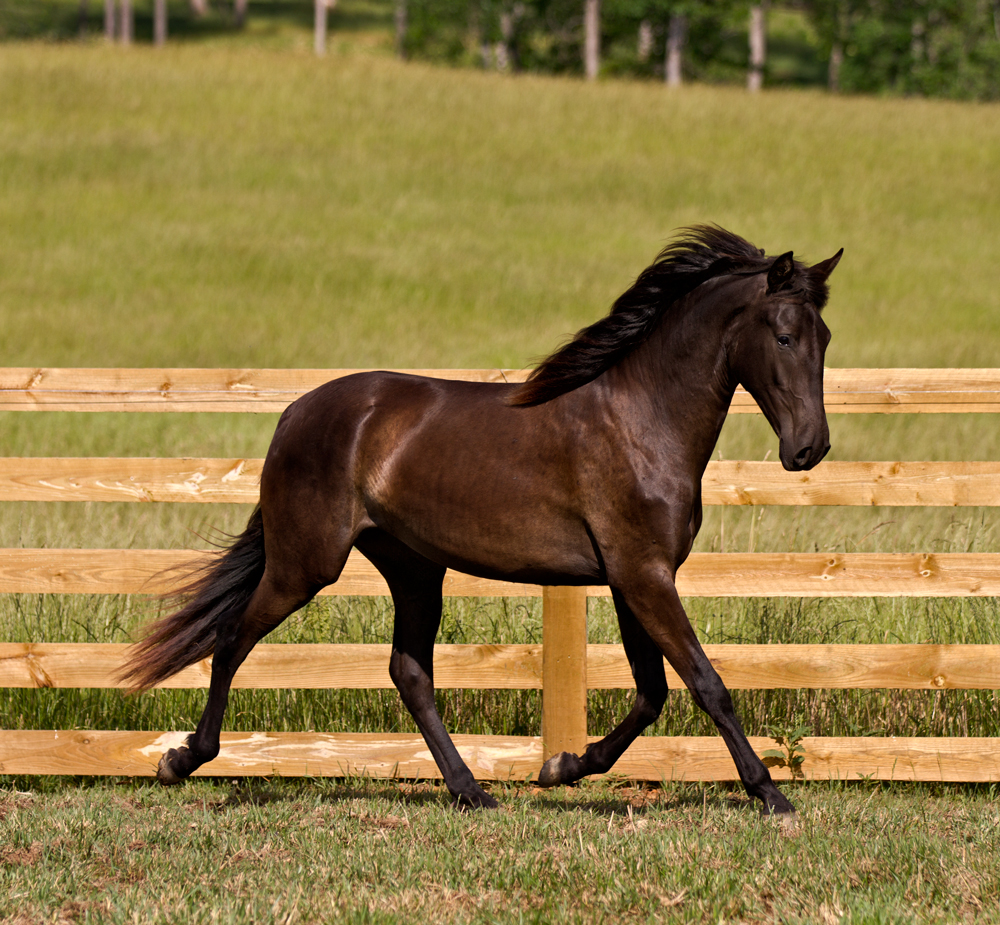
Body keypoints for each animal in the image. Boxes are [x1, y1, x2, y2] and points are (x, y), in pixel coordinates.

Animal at [125, 224, 844, 816]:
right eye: (784, 335)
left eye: (825, 338)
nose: (809, 449)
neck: (642, 420)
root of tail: (295, 412)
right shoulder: (643, 575)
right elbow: (706, 683)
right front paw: (771, 794)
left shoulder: (632, 578)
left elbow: (652, 692)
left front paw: (561, 767)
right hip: (307, 565)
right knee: (232, 640)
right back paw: (180, 759)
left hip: (414, 568)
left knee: (409, 673)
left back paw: (471, 789)